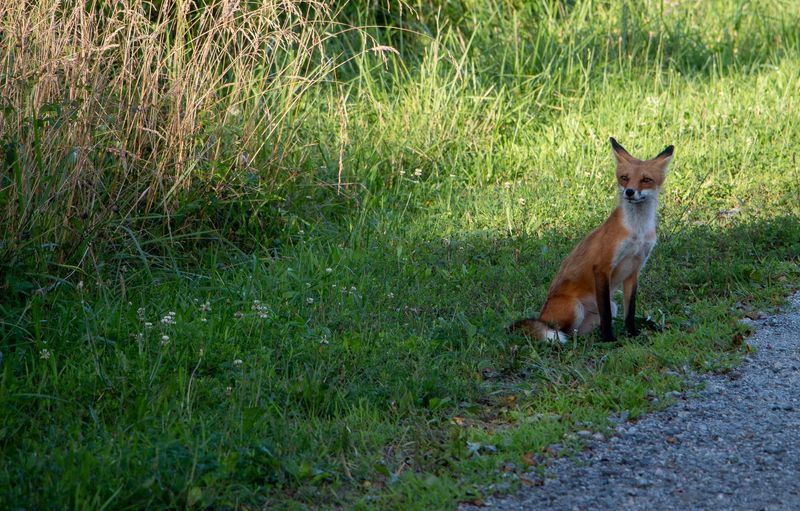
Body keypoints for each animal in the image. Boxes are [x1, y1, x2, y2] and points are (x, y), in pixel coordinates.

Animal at [509, 137, 674, 343]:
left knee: (577, 334)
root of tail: (542, 317)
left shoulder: (634, 270)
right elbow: (605, 314)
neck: (638, 231)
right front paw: (609, 339)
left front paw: (631, 334)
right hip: (575, 309)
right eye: (624, 178)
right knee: (558, 332)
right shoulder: (602, 268)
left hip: (608, 308)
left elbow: (630, 311)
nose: (629, 192)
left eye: (646, 180)